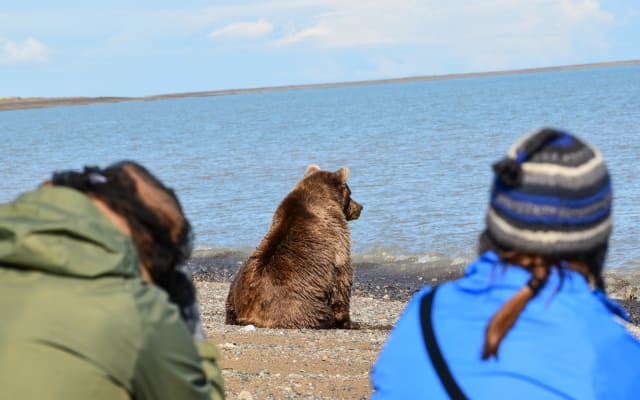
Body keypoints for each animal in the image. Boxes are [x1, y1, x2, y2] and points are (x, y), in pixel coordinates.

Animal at [225, 164, 363, 329]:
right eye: (350, 193)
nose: (360, 207)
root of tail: (248, 314)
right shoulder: (337, 237)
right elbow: (342, 278)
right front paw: (350, 322)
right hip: (300, 304)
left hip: (234, 290)